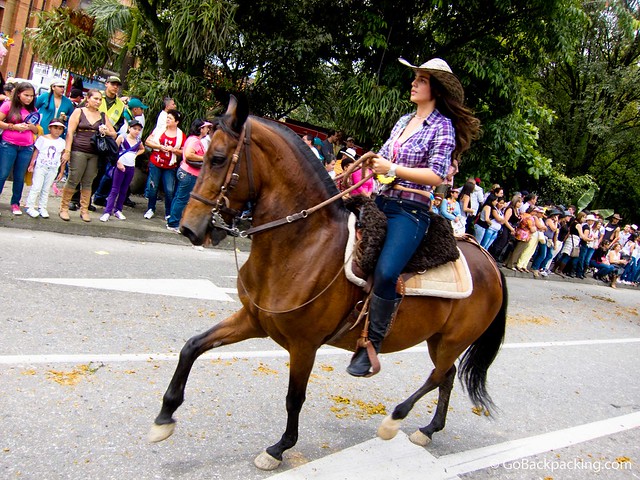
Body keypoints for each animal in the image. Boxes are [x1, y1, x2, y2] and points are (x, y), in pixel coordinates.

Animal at [149, 96, 508, 471]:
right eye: (199, 156)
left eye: (218, 158)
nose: (190, 228)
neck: (303, 243)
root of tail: (490, 261)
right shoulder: (253, 320)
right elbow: (192, 346)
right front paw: (164, 417)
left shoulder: (304, 344)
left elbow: (294, 397)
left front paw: (279, 448)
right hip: (439, 339)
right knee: (447, 375)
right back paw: (429, 429)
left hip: (453, 339)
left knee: (438, 375)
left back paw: (395, 419)